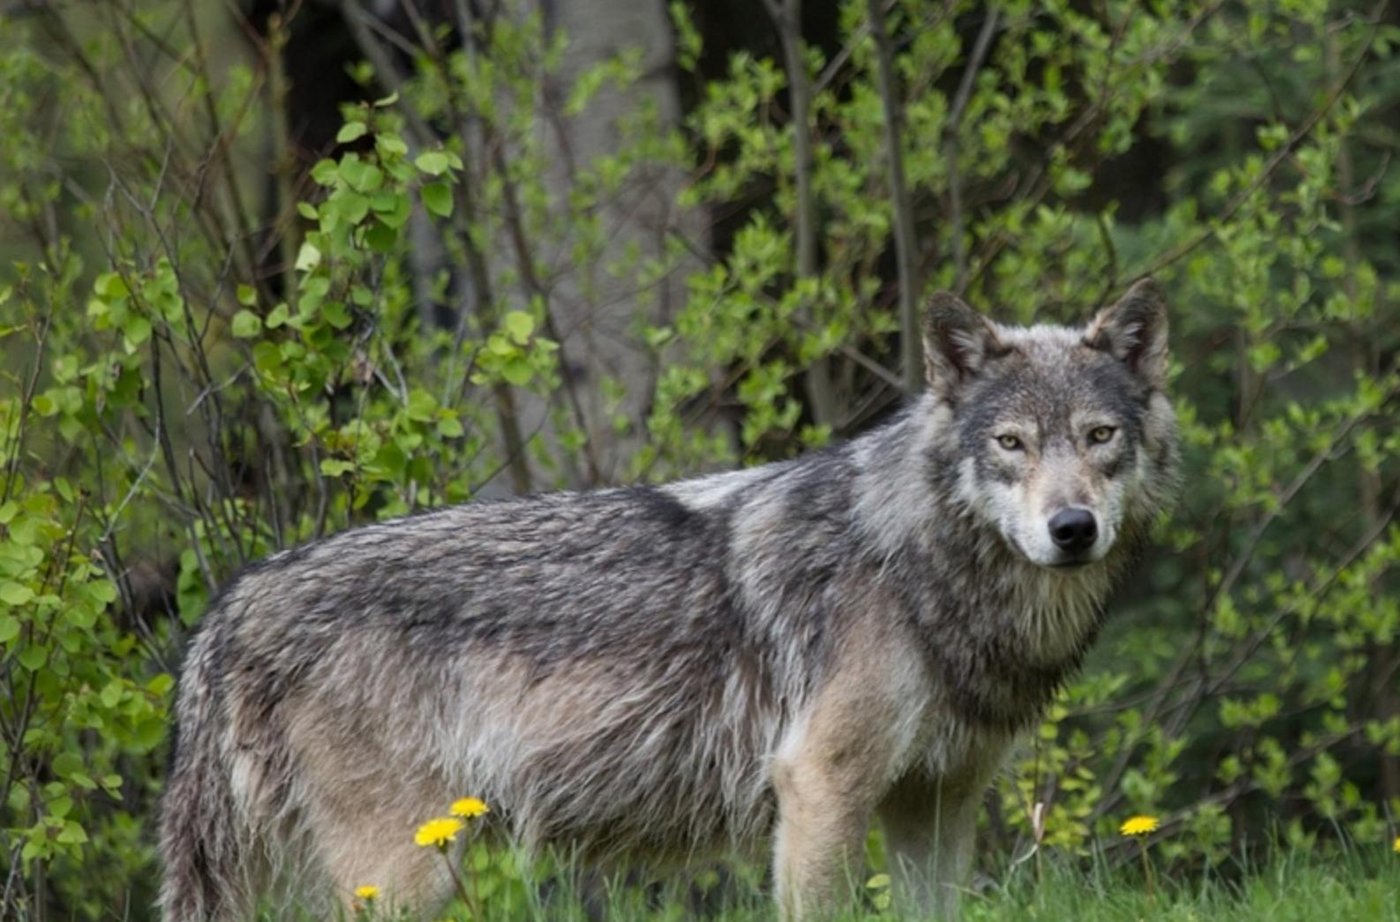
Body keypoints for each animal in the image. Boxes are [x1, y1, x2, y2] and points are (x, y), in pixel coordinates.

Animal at [159, 279, 1178, 921]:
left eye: (1098, 437)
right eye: (1011, 444)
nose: (1073, 528)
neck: (921, 566)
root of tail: (231, 604)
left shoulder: (937, 802)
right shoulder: (821, 787)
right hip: (402, 873)